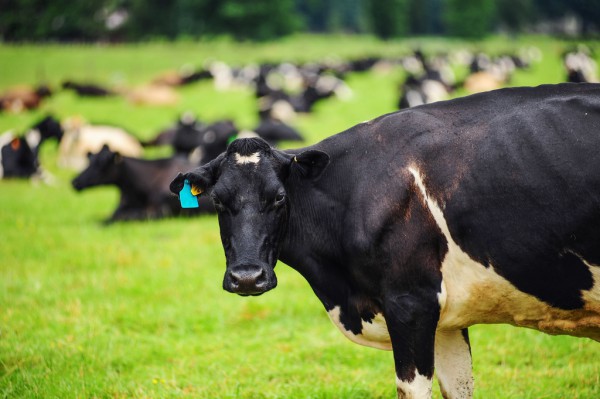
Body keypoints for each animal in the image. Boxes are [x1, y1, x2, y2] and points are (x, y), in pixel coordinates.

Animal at [73, 145, 213, 223]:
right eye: (90, 161)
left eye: (101, 165)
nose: (74, 181)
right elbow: (109, 215)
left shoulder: (160, 212)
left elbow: (127, 216)